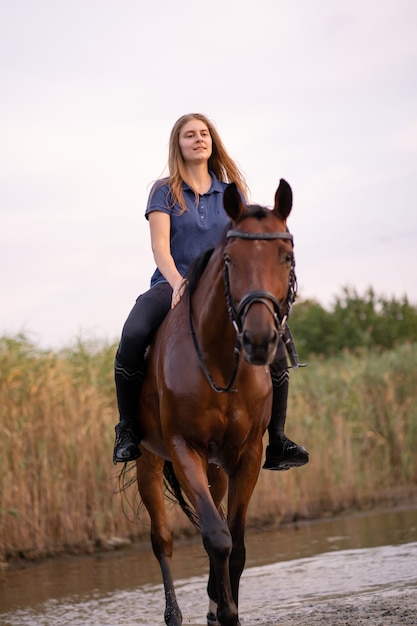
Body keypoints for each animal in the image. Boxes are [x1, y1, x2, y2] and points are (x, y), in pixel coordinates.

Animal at [136, 178, 296, 620]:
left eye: (287, 256)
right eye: (229, 259)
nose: (259, 340)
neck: (222, 363)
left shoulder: (248, 455)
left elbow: (235, 545)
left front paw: (226, 610)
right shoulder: (183, 448)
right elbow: (216, 537)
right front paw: (223, 612)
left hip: (217, 469)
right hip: (149, 460)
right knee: (162, 539)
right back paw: (175, 616)